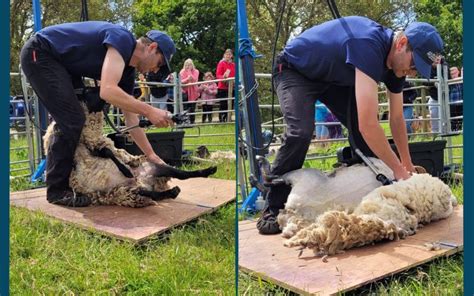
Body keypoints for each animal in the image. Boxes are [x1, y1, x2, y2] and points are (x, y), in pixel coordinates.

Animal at [43, 103, 218, 207]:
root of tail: (142, 180)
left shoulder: (93, 145)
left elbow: (107, 152)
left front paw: (125, 169)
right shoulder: (89, 147)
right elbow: (107, 151)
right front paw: (125, 170)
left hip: (153, 169)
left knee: (182, 174)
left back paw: (208, 170)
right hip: (127, 190)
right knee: (153, 193)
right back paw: (171, 191)